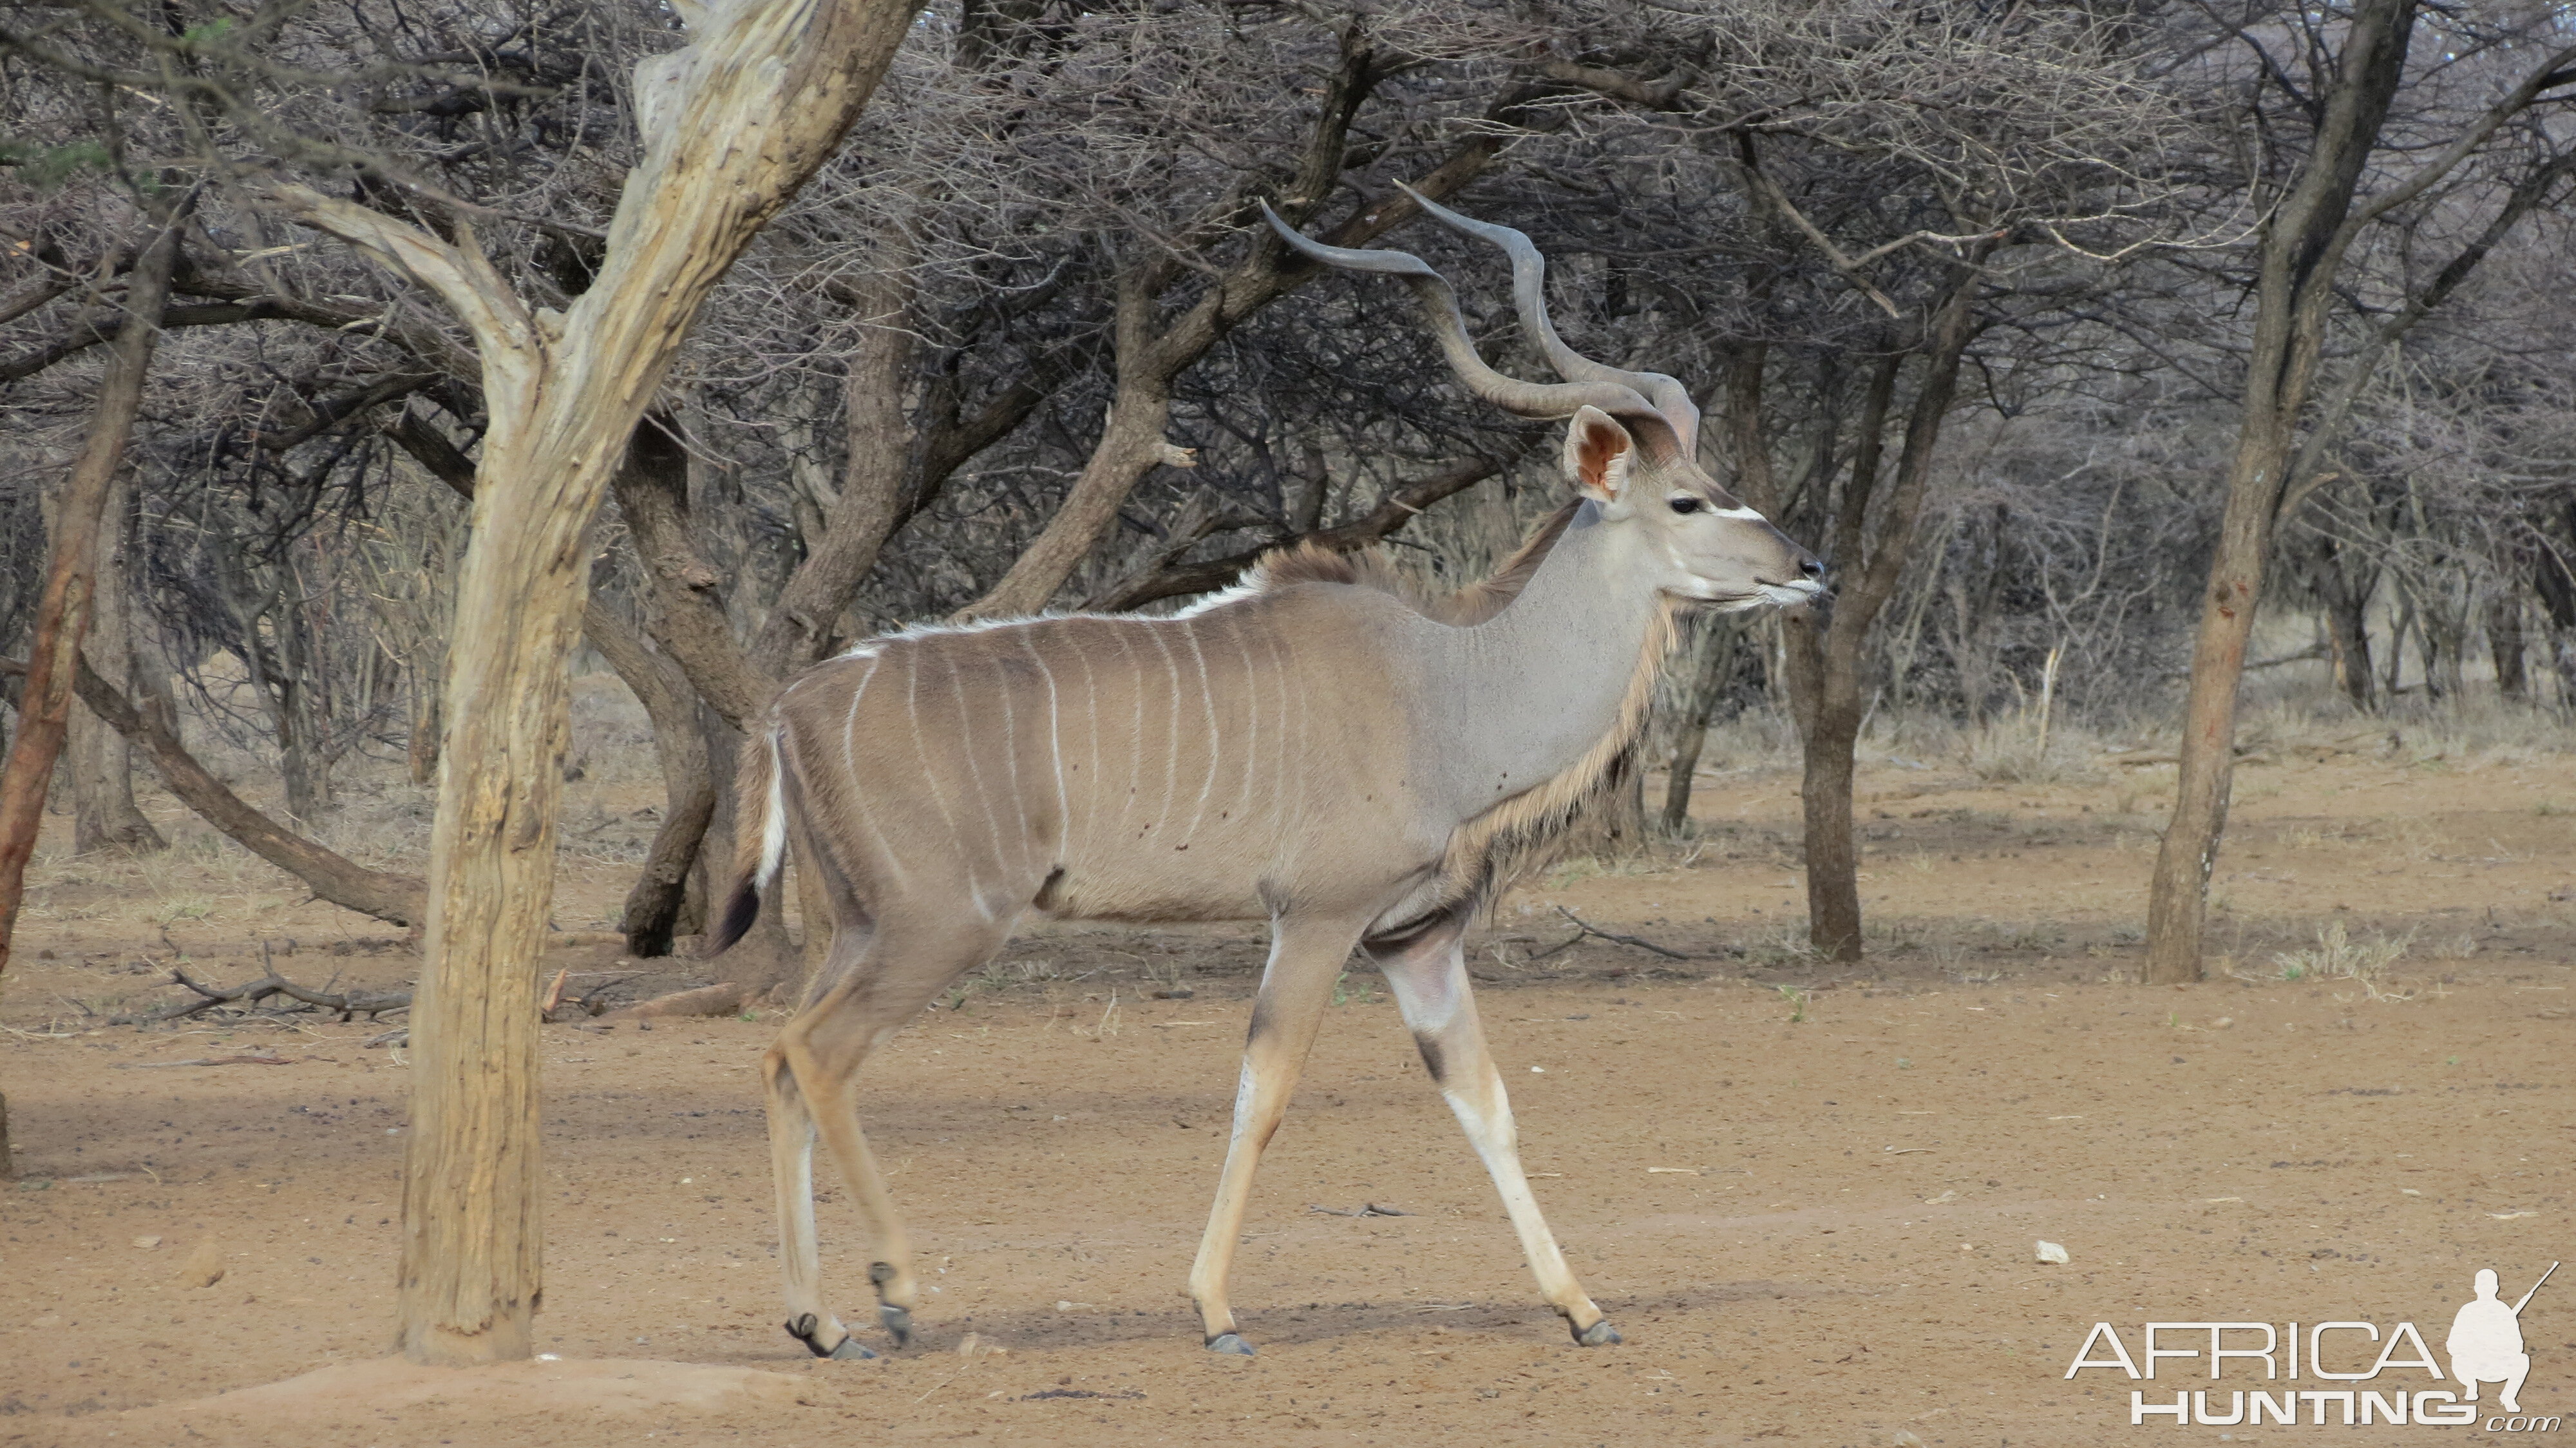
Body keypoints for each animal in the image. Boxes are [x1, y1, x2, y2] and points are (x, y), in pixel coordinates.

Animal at [716, 189, 1824, 1350]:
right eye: (1690, 501)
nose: (1808, 568)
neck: (1446, 686)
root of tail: (790, 708)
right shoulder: (1319, 917)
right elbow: (1266, 1092)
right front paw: (1214, 1313)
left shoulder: (1415, 940)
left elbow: (1485, 1103)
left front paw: (1583, 1308)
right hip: (940, 925)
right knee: (819, 1054)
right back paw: (891, 1289)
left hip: (860, 926)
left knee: (781, 1055)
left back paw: (817, 1319)